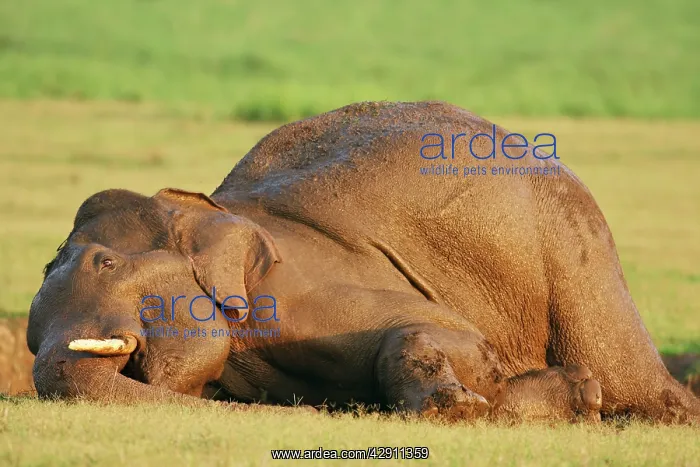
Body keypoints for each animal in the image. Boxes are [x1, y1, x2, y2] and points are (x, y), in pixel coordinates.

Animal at [27, 101, 699, 423]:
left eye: (105, 264)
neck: (216, 212)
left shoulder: (299, 292)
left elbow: (453, 334)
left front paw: (460, 406)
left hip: (577, 252)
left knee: (630, 380)